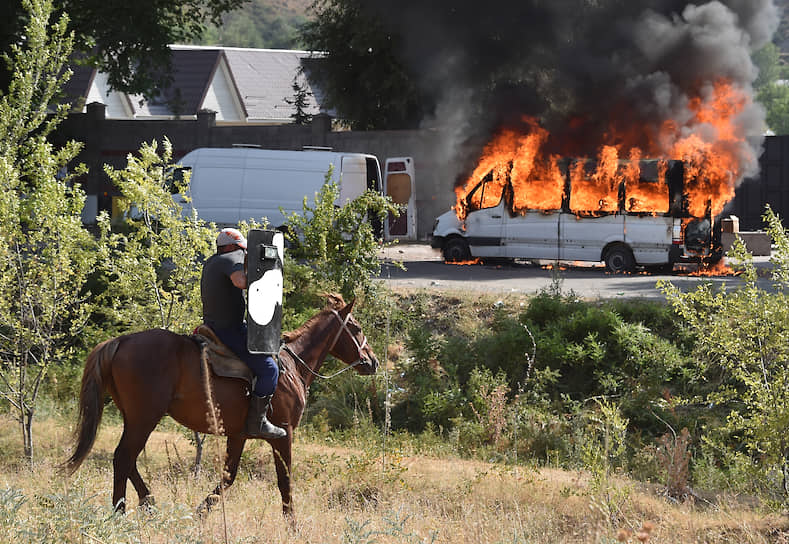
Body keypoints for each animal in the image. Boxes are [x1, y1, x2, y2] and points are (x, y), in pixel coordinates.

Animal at [64, 296, 378, 516]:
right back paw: (120, 511)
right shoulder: (284, 434)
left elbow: (228, 477)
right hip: (144, 419)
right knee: (123, 458)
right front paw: (293, 526)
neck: (293, 365)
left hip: (135, 419)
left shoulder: (238, 435)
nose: (372, 361)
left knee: (127, 460)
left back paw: (148, 503)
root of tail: (120, 341)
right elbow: (285, 483)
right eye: (357, 327)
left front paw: (200, 513)